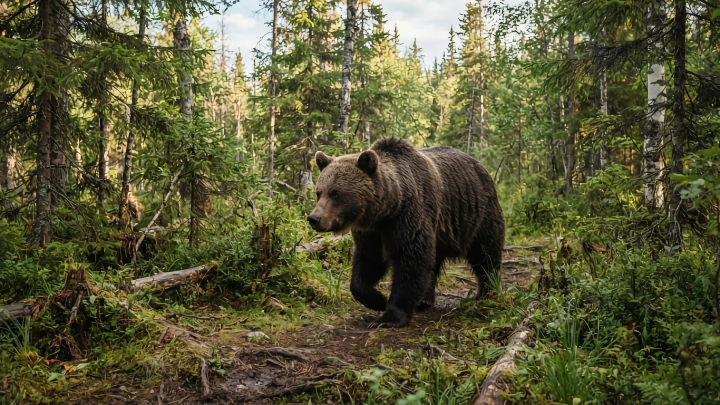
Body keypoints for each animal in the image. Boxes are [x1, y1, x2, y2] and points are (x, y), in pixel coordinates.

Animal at [307, 138, 505, 328]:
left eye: (336, 193)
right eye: (319, 192)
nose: (314, 218)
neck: (386, 209)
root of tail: (479, 165)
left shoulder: (408, 217)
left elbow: (411, 259)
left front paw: (389, 317)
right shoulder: (372, 232)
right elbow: (368, 262)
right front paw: (378, 300)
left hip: (477, 214)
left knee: (486, 253)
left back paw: (487, 292)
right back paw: (424, 300)